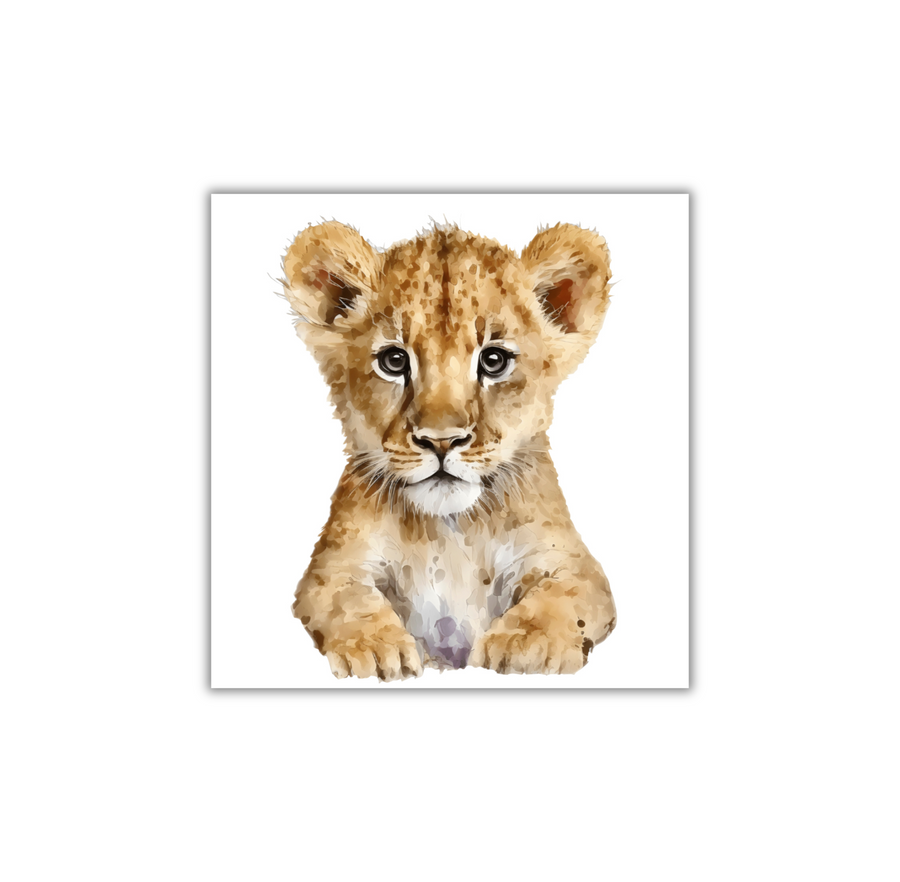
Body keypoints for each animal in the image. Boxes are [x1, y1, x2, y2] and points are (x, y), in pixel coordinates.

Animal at [280, 220, 617, 680]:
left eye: (494, 361)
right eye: (393, 361)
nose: (441, 441)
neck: (449, 530)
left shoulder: (573, 564)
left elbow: (560, 598)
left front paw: (522, 644)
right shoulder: (332, 567)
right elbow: (346, 599)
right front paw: (376, 648)